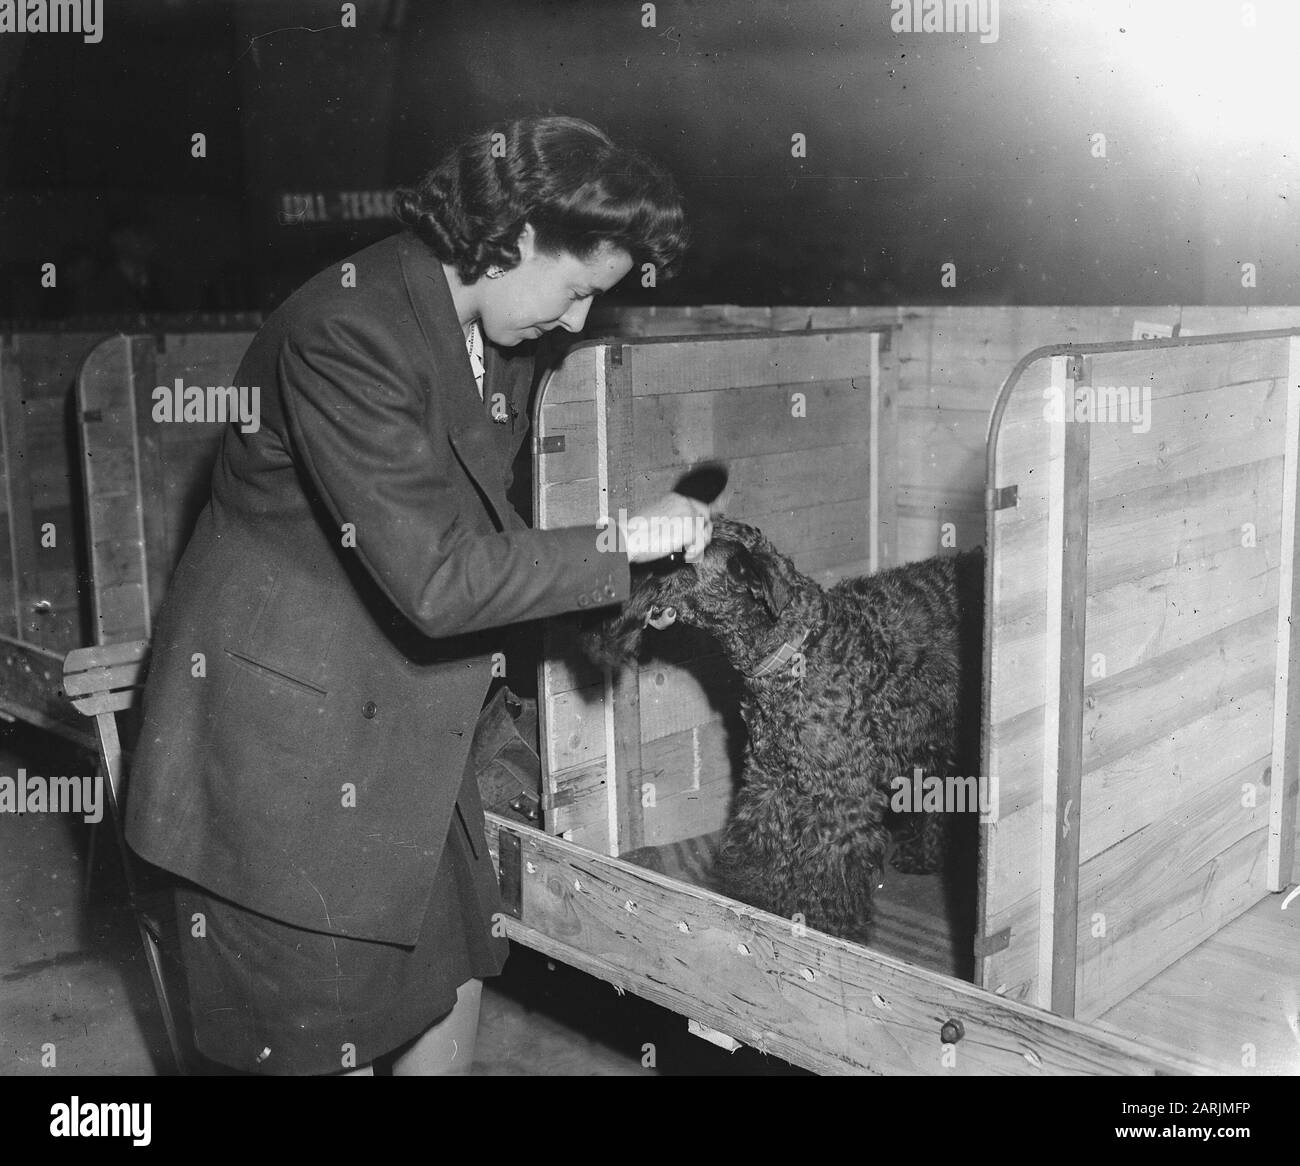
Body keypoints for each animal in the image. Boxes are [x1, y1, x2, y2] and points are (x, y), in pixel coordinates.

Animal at [585, 522, 977, 941]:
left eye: (676, 557)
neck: (796, 649)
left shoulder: (841, 796)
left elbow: (831, 871)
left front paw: (828, 929)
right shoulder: (770, 779)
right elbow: (763, 851)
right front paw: (757, 904)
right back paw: (923, 855)